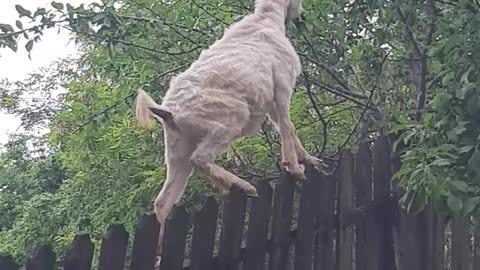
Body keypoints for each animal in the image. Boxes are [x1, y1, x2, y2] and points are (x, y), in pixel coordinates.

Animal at [133, 0, 324, 264]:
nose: (300, 14)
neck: (267, 20)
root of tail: (167, 112)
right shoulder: (282, 85)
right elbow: (287, 126)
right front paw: (295, 168)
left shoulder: (271, 103)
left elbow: (289, 128)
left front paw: (312, 160)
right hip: (230, 119)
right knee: (201, 159)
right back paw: (244, 187)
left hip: (177, 149)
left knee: (164, 200)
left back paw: (160, 256)